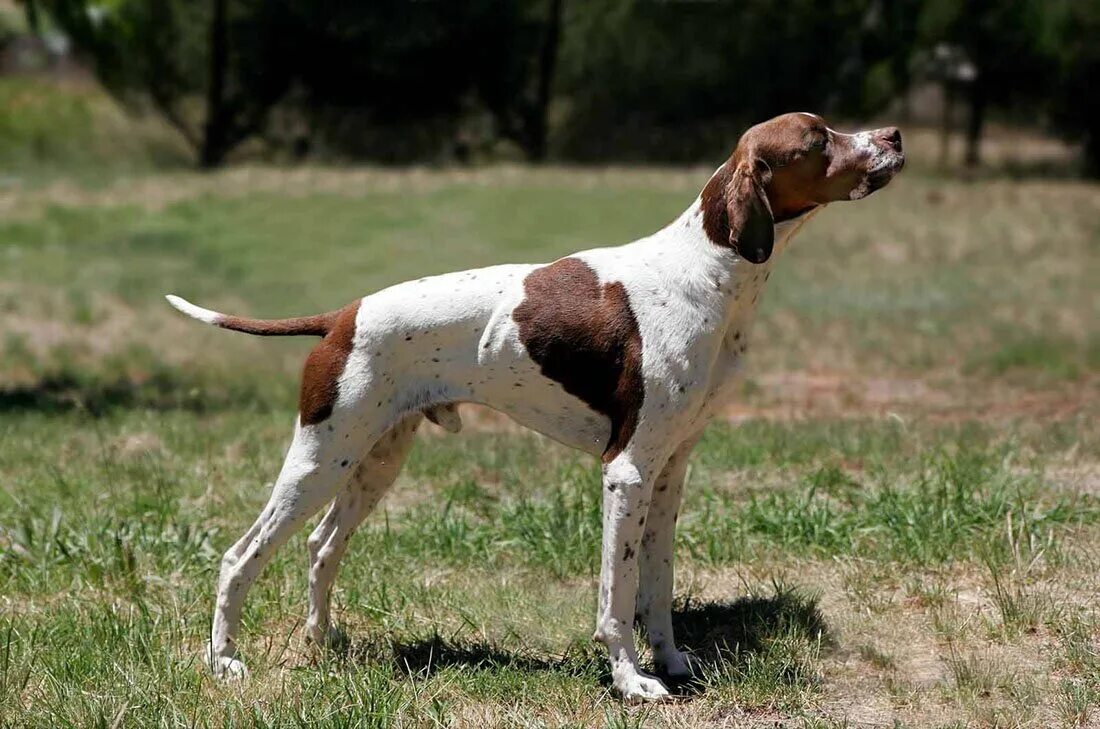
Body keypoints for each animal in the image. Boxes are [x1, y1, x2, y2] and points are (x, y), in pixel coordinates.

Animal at [165, 109, 902, 703]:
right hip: (320, 458)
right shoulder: (626, 471)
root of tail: (341, 316)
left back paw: (322, 641)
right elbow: (617, 595)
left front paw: (669, 661)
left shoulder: (669, 473)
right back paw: (225, 660)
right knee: (239, 556)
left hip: (373, 460)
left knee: (322, 548)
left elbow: (657, 589)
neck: (705, 271)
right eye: (818, 138)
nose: (894, 135)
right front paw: (631, 680)